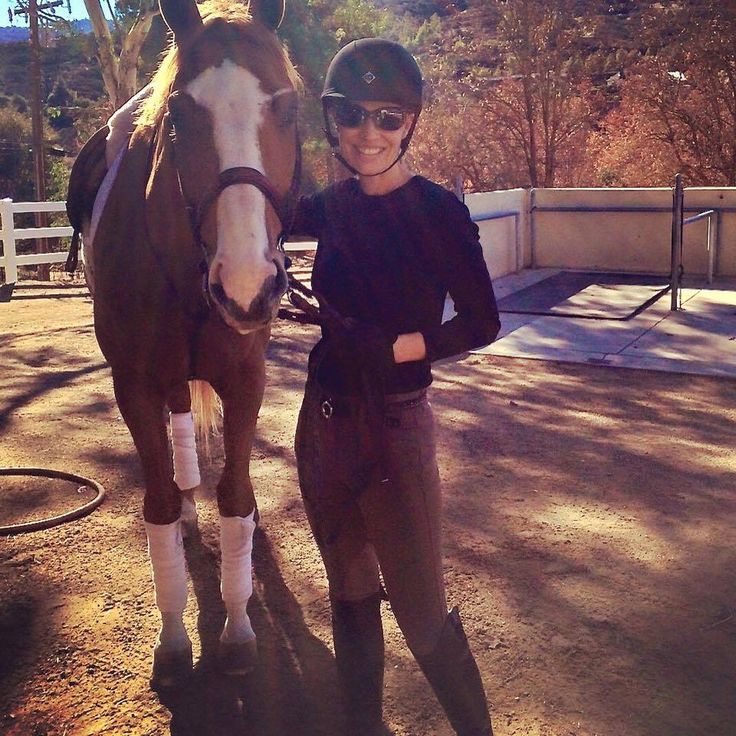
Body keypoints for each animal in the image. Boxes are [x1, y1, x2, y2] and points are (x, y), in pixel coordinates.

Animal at [85, 0, 302, 688]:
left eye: (286, 106)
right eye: (178, 116)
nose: (247, 285)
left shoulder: (246, 378)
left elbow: (235, 494)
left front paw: (236, 630)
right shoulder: (132, 384)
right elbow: (155, 505)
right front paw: (176, 639)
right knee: (178, 426)